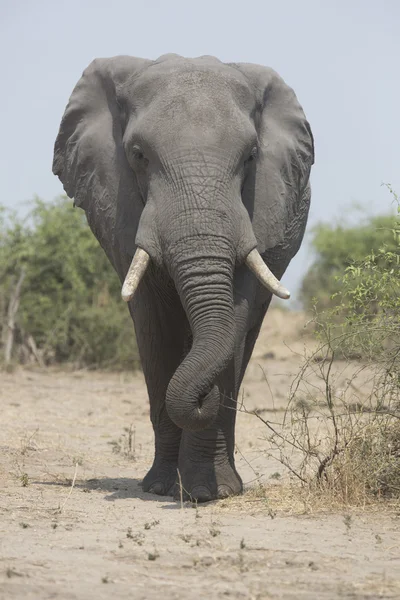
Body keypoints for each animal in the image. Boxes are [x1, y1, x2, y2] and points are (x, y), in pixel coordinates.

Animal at [53, 52, 314, 502]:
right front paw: (160, 488)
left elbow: (236, 314)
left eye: (251, 157)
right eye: (138, 155)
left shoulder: (262, 208)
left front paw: (210, 492)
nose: (202, 397)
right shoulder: (119, 206)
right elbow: (155, 328)